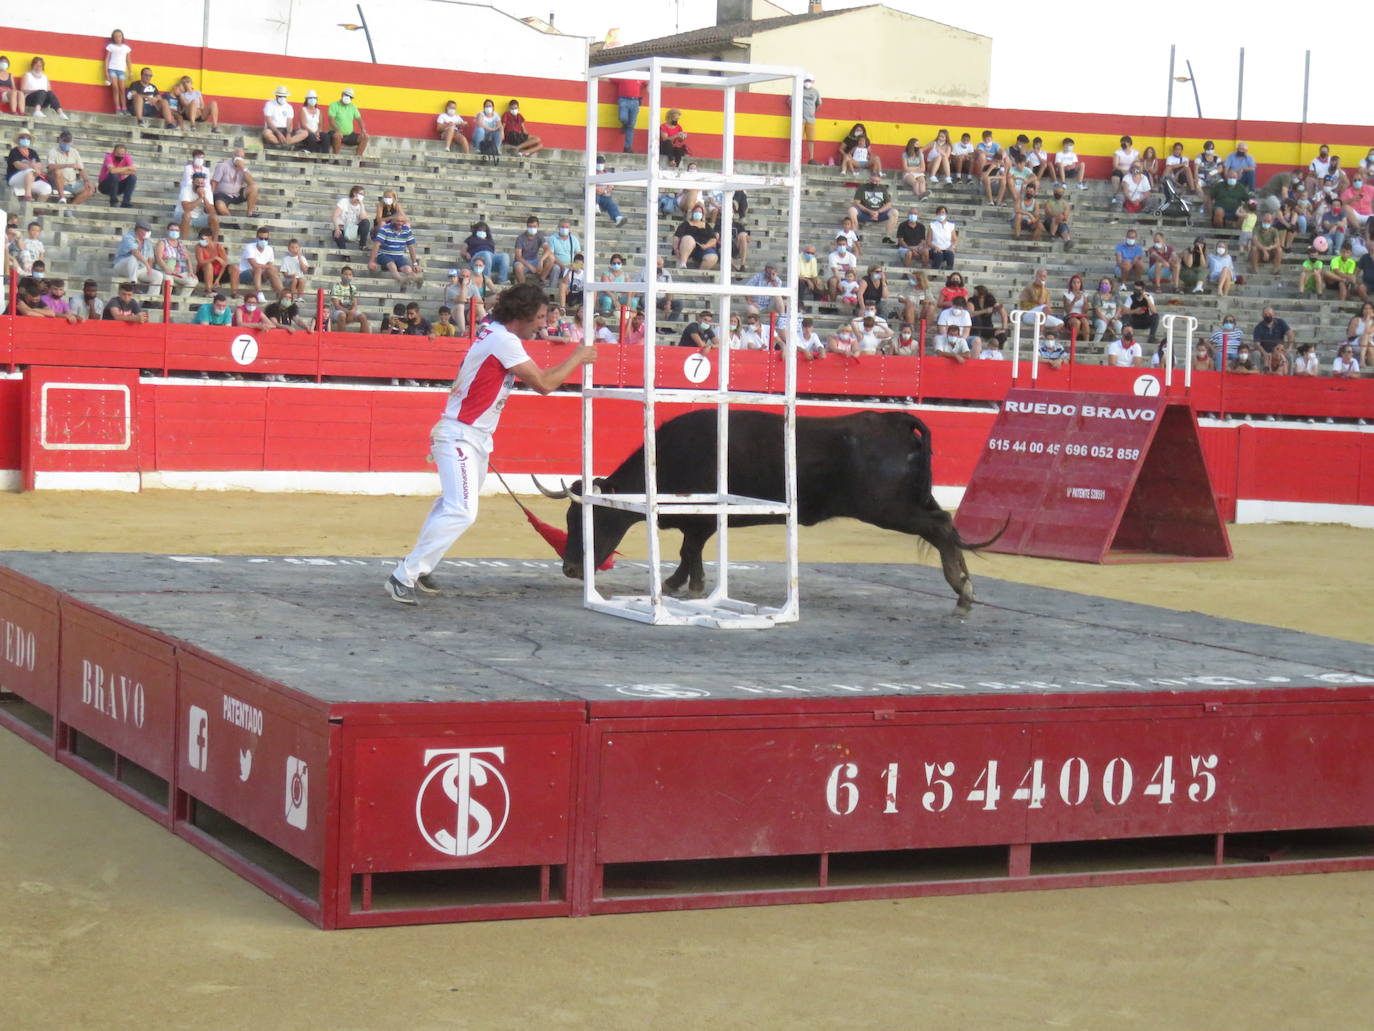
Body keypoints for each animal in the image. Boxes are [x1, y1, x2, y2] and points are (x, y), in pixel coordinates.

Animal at [541, 406, 1005, 610]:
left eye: (593, 517)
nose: (570, 568)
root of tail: (895, 421)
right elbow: (688, 552)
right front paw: (679, 583)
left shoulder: (703, 520)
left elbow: (690, 550)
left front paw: (688, 586)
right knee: (944, 525)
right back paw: (964, 588)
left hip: (888, 507)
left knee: (940, 526)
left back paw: (963, 591)